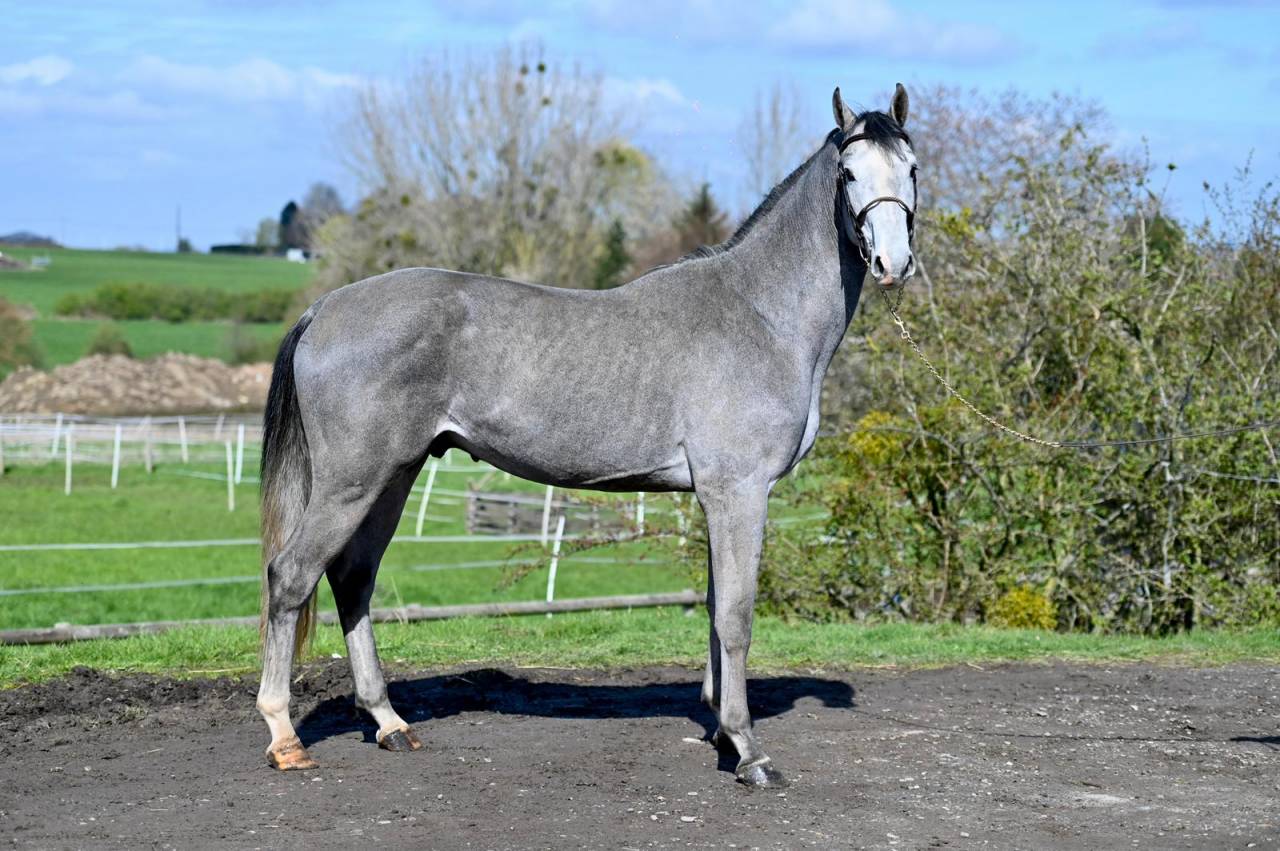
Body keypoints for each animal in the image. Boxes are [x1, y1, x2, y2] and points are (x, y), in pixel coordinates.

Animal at [256, 83, 918, 788]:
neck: (760, 315)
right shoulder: (740, 492)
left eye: (911, 169)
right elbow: (736, 618)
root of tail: (324, 308)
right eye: (848, 174)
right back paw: (284, 736)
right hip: (351, 482)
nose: (892, 263)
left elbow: (716, 614)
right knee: (290, 577)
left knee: (353, 578)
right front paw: (748, 751)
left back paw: (389, 723)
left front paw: (719, 730)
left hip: (393, 476)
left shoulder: (718, 498)